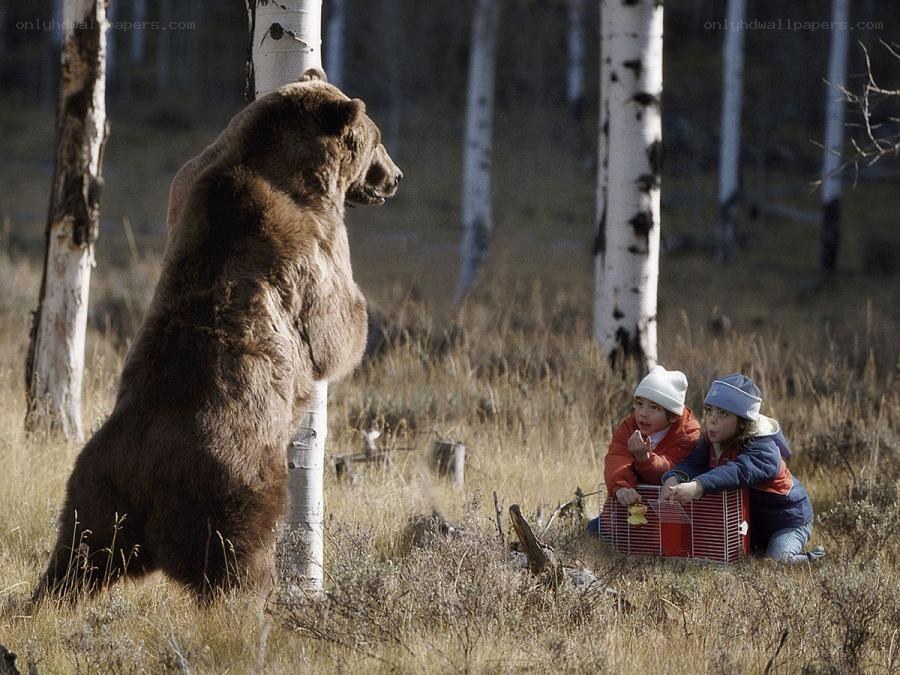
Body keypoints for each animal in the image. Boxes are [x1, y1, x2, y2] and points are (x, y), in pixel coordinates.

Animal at [34, 68, 401, 602]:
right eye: (376, 139)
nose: (395, 177)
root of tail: (147, 477)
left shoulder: (189, 182)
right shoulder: (308, 240)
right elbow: (333, 326)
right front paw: (357, 323)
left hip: (95, 495)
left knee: (75, 559)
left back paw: (42, 600)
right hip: (233, 490)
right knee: (238, 566)